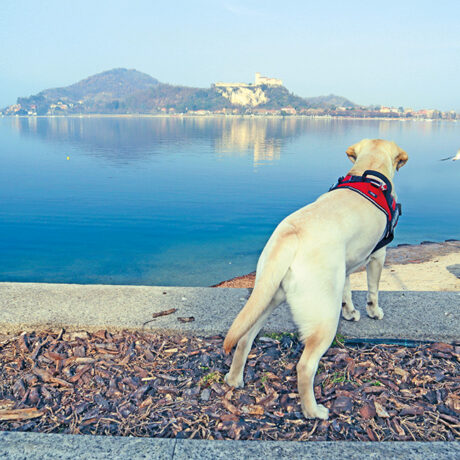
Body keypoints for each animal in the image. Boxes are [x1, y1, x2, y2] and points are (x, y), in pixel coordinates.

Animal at [225, 138, 408, 418]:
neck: (370, 171)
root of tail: (291, 235)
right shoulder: (378, 254)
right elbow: (373, 289)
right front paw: (373, 312)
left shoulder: (344, 267)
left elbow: (347, 291)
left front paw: (350, 312)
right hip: (323, 319)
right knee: (305, 366)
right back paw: (314, 412)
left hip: (267, 297)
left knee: (245, 338)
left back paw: (234, 379)